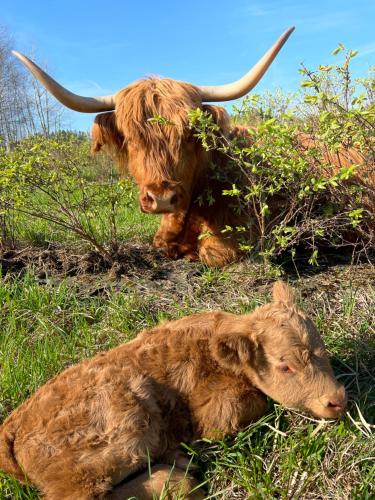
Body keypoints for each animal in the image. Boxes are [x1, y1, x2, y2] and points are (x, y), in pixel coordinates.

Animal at [0, 284, 346, 498]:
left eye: (322, 350)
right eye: (284, 365)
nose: (337, 400)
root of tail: (12, 425)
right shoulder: (216, 409)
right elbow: (246, 407)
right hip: (119, 429)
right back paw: (176, 476)